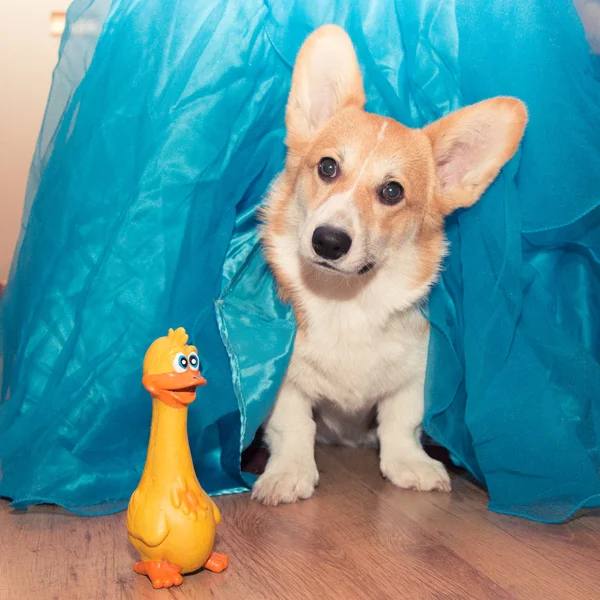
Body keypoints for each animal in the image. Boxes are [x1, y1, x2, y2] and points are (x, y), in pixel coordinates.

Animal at [253, 25, 524, 504]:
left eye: (392, 192)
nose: (328, 241)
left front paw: (409, 465)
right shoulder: (285, 379)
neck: (346, 301)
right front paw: (288, 473)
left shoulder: (416, 374)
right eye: (327, 167)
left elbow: (401, 422)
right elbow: (293, 426)